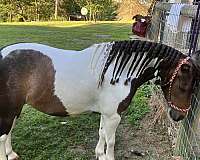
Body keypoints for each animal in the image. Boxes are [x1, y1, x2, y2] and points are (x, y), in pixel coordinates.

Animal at [0, 40, 200, 160]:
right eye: (184, 85)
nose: (179, 116)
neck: (119, 73)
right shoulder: (114, 116)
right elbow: (111, 141)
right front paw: (108, 156)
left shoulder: (106, 113)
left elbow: (102, 133)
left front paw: (99, 154)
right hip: (9, 108)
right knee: (3, 135)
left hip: (14, 108)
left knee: (9, 131)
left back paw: (11, 153)